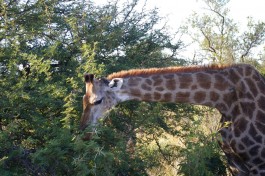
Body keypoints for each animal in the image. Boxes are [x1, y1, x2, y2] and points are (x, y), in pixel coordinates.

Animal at [79, 64, 264, 175]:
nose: (84, 134)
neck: (225, 100)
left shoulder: (258, 163)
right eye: (83, 100)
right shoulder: (234, 163)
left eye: (98, 100)